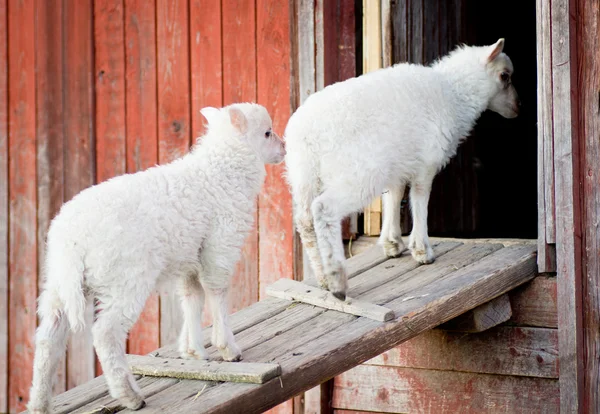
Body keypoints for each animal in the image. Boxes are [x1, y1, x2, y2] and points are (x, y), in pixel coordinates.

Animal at [29, 103, 288, 414]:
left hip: (58, 283)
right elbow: (217, 293)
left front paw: (193, 350)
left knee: (48, 339)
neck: (220, 171)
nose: (284, 148)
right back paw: (130, 395)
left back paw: (40, 403)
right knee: (105, 333)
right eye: (267, 133)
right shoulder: (220, 246)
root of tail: (71, 242)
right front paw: (228, 348)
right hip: (125, 278)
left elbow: (192, 297)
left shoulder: (191, 256)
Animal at [284, 38, 516, 300]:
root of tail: (307, 134)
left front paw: (392, 243)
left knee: (305, 221)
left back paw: (323, 277)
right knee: (324, 210)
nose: (517, 108)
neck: (454, 94)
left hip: (303, 175)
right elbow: (420, 199)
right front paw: (422, 250)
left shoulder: (398, 166)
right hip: (358, 172)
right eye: (505, 76)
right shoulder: (426, 162)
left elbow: (394, 197)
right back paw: (337, 280)